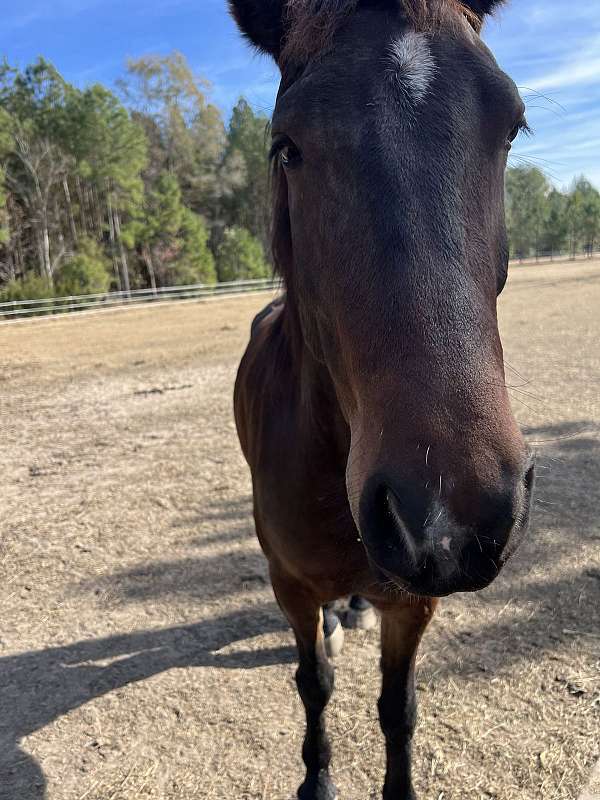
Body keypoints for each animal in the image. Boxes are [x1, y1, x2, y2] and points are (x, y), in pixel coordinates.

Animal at [230, 3, 536, 796]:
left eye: (512, 126)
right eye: (286, 145)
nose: (449, 518)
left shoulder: (416, 601)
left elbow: (398, 708)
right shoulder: (289, 587)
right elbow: (315, 685)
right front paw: (316, 780)